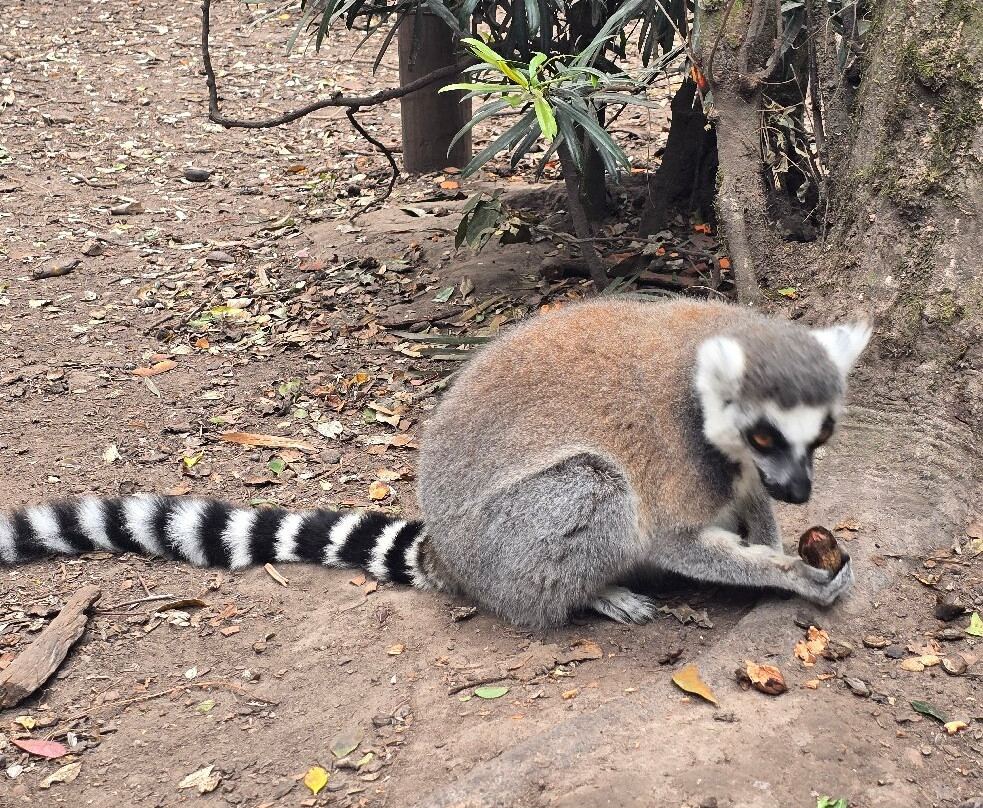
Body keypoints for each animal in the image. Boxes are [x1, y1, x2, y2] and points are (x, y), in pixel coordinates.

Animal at [0, 297, 870, 630]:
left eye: (818, 435)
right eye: (767, 436)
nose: (800, 488)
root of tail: (450, 556)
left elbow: (743, 505)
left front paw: (787, 545)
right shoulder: (677, 449)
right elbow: (675, 539)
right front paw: (790, 575)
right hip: (505, 546)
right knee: (591, 486)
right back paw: (590, 596)